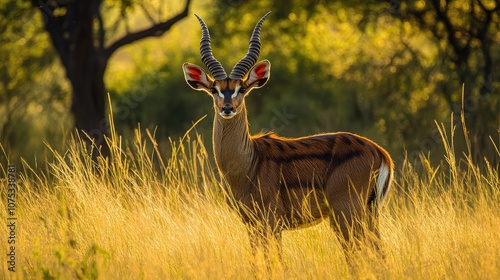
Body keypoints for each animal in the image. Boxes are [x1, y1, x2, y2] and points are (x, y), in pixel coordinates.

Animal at [182, 12, 392, 258]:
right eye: (214, 89)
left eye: (241, 88)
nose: (227, 108)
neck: (248, 163)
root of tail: (380, 152)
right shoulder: (251, 224)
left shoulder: (272, 223)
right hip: (366, 215)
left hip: (347, 215)